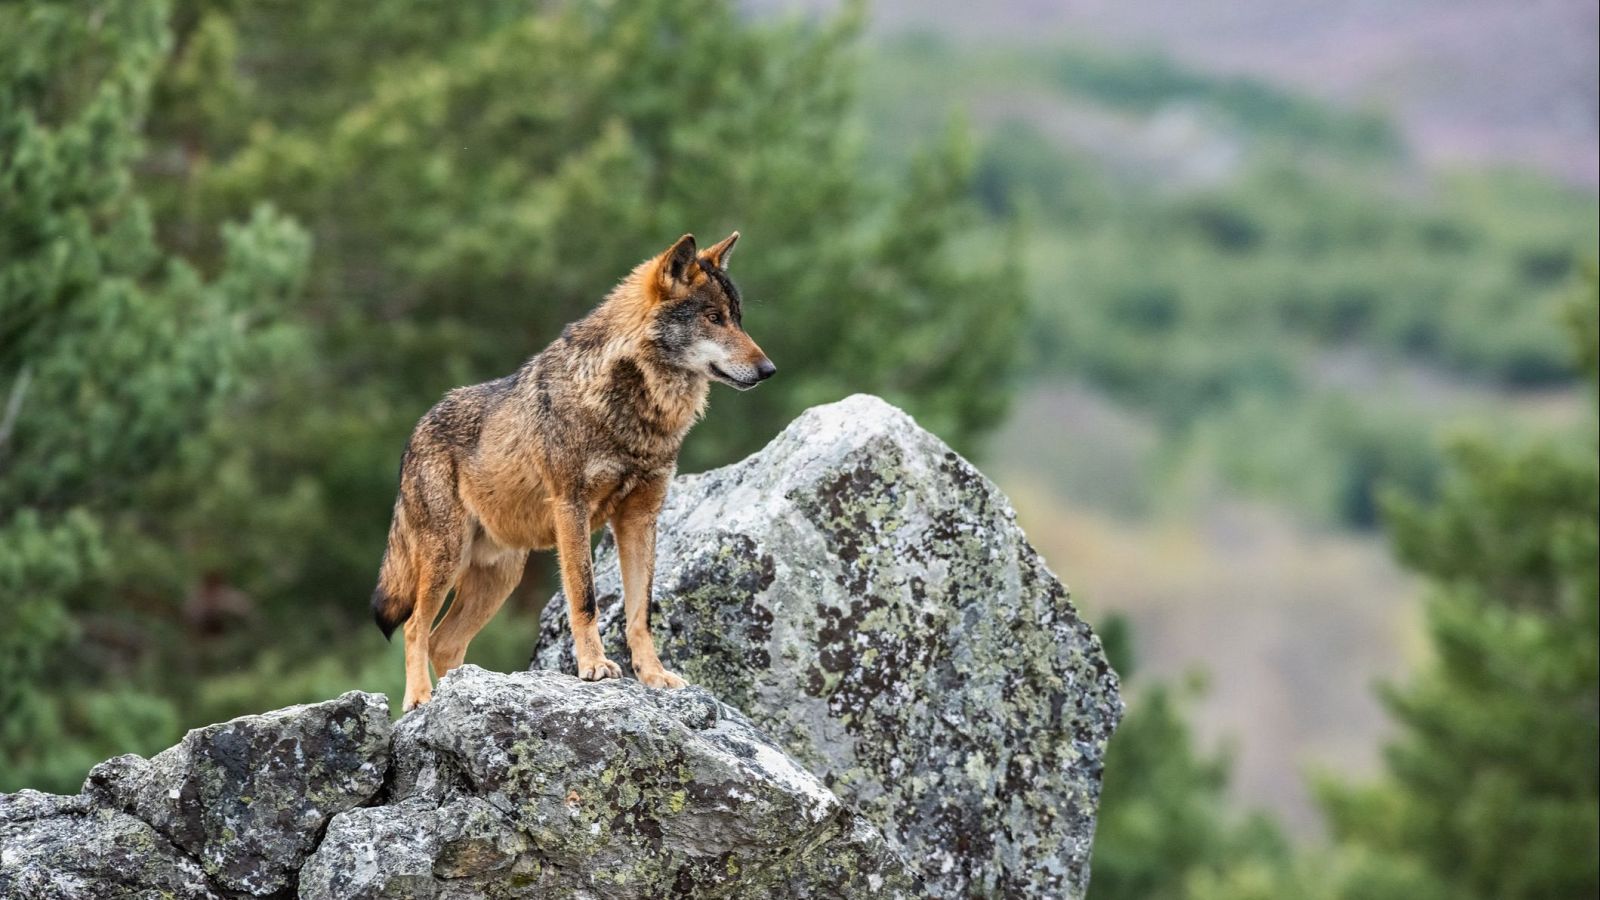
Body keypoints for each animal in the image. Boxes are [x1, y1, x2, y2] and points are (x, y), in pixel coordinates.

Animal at [370, 232, 773, 711]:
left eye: (738, 319)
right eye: (714, 318)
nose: (769, 370)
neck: (635, 410)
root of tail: (415, 432)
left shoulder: (640, 519)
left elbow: (641, 612)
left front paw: (653, 675)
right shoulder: (571, 508)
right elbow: (585, 599)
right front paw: (594, 667)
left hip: (501, 577)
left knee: (443, 641)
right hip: (446, 559)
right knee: (416, 627)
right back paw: (421, 699)